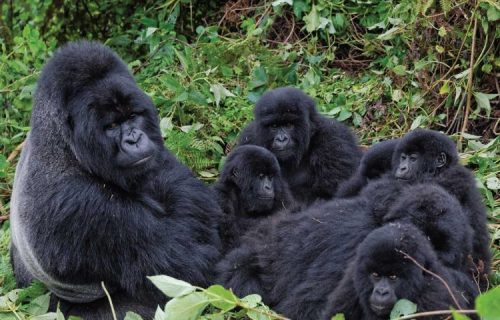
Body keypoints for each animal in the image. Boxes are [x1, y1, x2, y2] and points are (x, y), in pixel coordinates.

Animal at [8, 41, 221, 318]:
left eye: (132, 116)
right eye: (111, 126)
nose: (134, 139)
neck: (65, 146)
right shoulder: (81, 205)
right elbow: (189, 265)